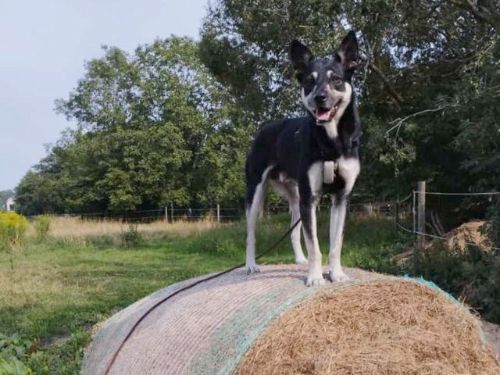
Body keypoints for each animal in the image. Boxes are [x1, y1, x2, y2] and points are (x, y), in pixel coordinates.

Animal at [244, 31, 362, 288]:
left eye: (336, 79)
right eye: (309, 81)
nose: (320, 98)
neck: (331, 143)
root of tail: (263, 130)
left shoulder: (341, 197)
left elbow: (335, 244)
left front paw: (336, 274)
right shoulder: (311, 197)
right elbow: (315, 244)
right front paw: (315, 277)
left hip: (296, 195)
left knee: (294, 231)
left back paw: (299, 259)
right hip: (256, 193)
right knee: (250, 234)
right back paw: (250, 265)